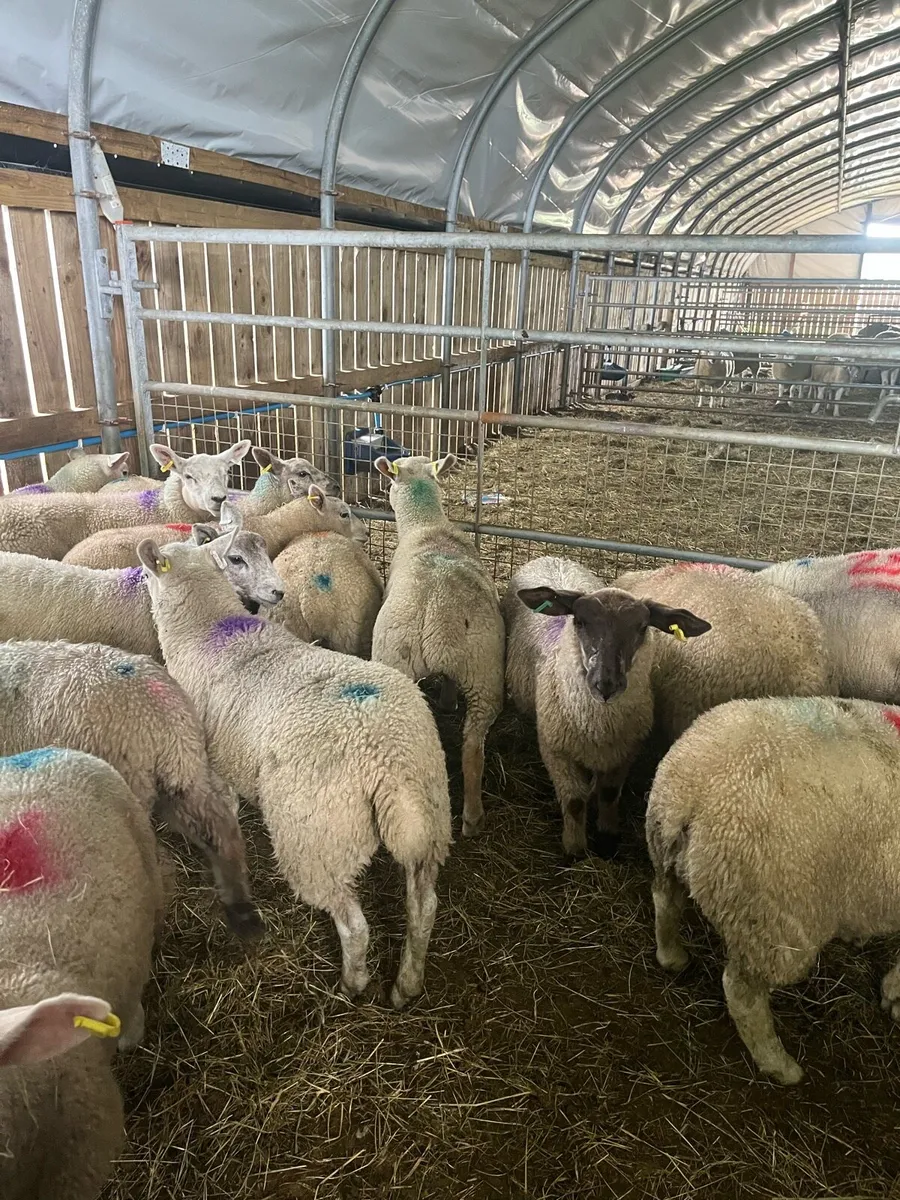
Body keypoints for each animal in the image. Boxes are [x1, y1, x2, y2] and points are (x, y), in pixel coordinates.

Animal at [0, 640, 262, 939]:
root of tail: (165, 716)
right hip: (183, 772)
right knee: (220, 831)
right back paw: (241, 910)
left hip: (130, 781)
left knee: (158, 862)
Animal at [137, 532, 451, 1007]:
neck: (208, 630)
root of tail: (387, 757)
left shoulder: (210, 757)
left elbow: (224, 808)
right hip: (429, 812)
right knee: (424, 906)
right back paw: (406, 985)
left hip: (316, 835)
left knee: (354, 925)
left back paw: (352, 984)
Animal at [371, 454, 505, 838]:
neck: (426, 524)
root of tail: (439, 609)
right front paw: (447, 702)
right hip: (483, 671)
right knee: (473, 746)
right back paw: (473, 817)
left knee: (469, 746)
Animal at [503, 555, 710, 859]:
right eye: (579, 621)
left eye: (642, 627)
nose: (606, 685)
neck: (599, 725)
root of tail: (552, 557)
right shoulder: (556, 751)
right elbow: (575, 801)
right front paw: (575, 849)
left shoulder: (624, 750)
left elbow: (610, 793)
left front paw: (607, 838)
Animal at [647, 694, 900, 1084]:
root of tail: (693, 791)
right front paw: (894, 995)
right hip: (773, 922)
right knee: (742, 993)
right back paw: (779, 1064)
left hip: (666, 851)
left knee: (665, 902)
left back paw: (672, 956)